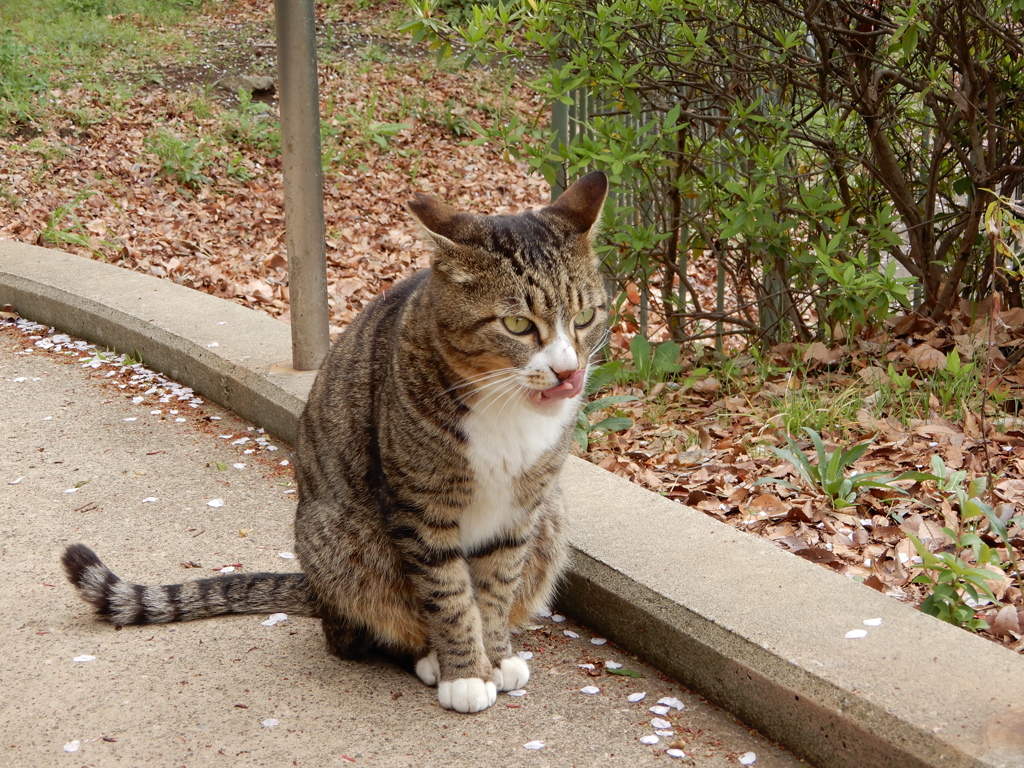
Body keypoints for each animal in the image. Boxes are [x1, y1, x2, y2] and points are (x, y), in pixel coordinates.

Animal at [61, 171, 606, 712]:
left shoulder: (522, 510)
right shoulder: (421, 510)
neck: (507, 407)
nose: (568, 371)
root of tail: (316, 591)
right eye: (517, 324)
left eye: (584, 318)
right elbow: (449, 596)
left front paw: (494, 657)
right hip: (347, 539)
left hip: (552, 518)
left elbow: (495, 589)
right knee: (357, 631)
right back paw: (423, 657)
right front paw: (466, 674)